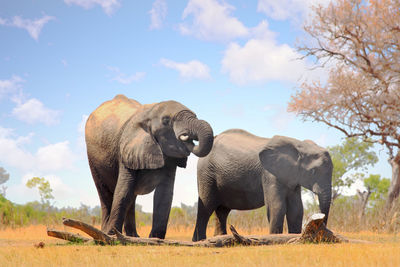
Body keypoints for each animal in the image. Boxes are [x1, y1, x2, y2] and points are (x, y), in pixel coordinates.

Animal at [86, 94, 214, 239]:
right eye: (166, 120)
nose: (187, 138)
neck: (149, 113)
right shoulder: (127, 149)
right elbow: (123, 190)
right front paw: (112, 235)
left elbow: (164, 193)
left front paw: (155, 238)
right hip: (93, 158)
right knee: (106, 194)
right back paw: (105, 233)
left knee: (131, 197)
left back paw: (133, 236)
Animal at [192, 130, 332, 243]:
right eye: (313, 172)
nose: (321, 232)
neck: (299, 145)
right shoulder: (269, 173)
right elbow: (277, 206)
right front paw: (275, 239)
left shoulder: (292, 177)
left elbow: (296, 209)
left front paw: (294, 237)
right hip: (206, 174)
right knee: (206, 207)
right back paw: (199, 241)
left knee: (222, 211)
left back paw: (220, 238)